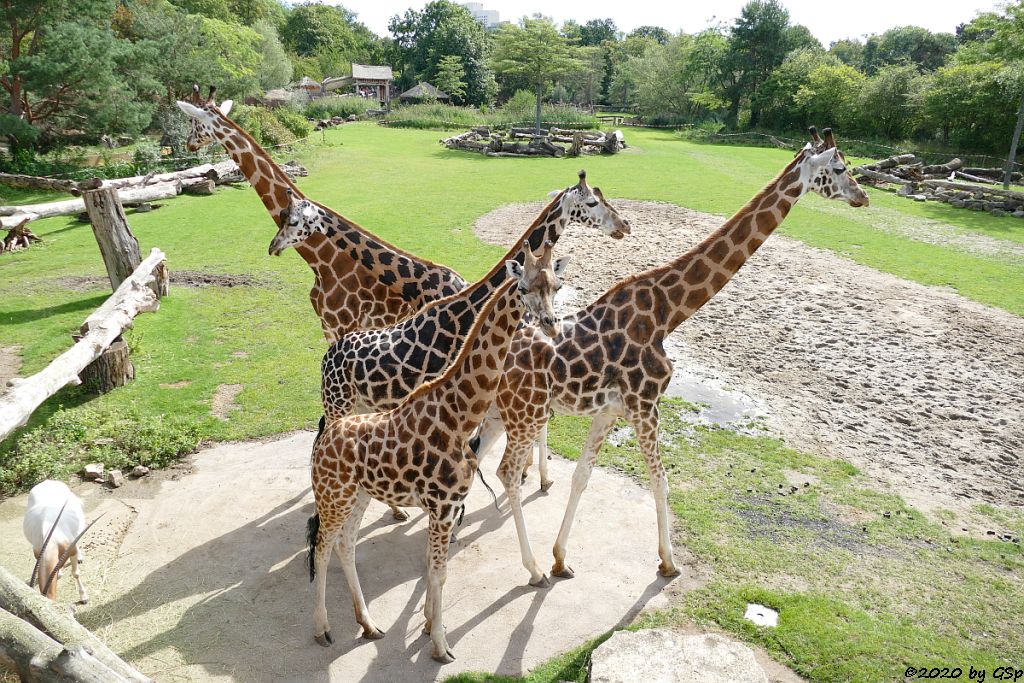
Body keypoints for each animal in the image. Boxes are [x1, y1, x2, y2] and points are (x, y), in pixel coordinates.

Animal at [173, 85, 468, 342]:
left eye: (193, 123)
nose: (189, 144)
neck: (321, 260)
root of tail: (464, 284)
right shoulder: (326, 324)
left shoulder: (342, 323)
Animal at [305, 242, 561, 659]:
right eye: (523, 288)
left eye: (557, 284)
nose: (551, 323)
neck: (459, 415)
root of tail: (325, 439)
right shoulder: (442, 505)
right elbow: (439, 572)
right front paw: (440, 644)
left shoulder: (447, 506)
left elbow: (432, 567)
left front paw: (427, 626)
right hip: (335, 495)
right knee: (324, 544)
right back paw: (323, 628)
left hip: (359, 494)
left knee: (346, 543)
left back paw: (368, 623)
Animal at [473, 125, 872, 585]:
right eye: (839, 168)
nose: (863, 197)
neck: (669, 312)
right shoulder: (647, 404)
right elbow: (660, 481)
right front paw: (667, 562)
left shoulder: (611, 410)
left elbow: (582, 476)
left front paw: (561, 558)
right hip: (525, 415)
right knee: (504, 472)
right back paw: (531, 568)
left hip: (498, 412)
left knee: (474, 458)